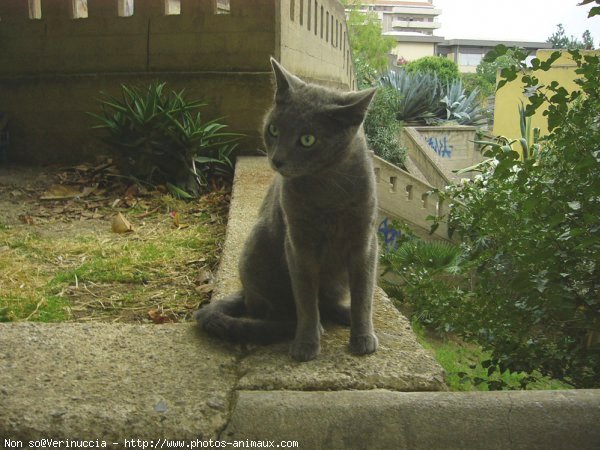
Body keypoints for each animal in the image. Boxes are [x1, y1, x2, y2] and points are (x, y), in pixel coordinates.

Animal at [195, 59, 378, 362]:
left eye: (307, 139)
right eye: (273, 130)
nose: (277, 160)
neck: (326, 186)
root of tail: (243, 291)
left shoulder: (364, 240)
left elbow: (363, 294)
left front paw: (362, 337)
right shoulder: (298, 242)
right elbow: (305, 297)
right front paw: (306, 343)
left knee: (328, 301)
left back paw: (343, 314)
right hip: (258, 245)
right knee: (277, 310)